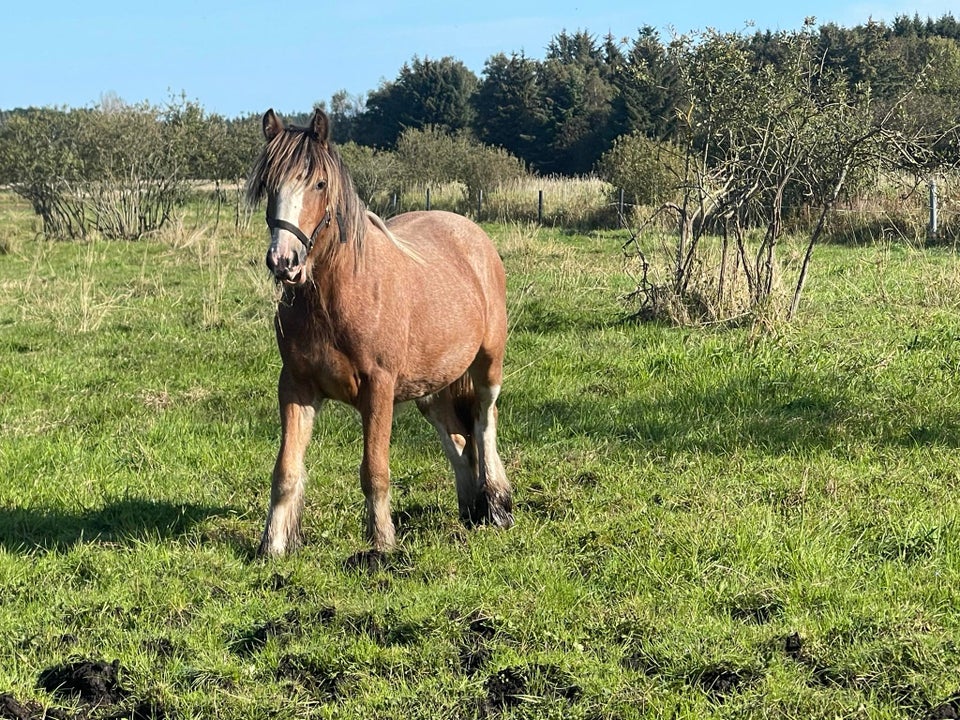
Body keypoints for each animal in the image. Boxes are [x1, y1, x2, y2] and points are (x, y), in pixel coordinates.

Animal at [244, 108, 512, 556]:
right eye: (269, 185)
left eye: (319, 183)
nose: (284, 261)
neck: (335, 297)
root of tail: (472, 235)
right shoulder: (296, 387)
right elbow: (285, 471)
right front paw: (273, 545)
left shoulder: (378, 388)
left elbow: (374, 470)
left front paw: (382, 544)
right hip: (431, 385)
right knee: (456, 437)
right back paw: (470, 508)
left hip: (487, 364)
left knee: (483, 421)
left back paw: (496, 505)